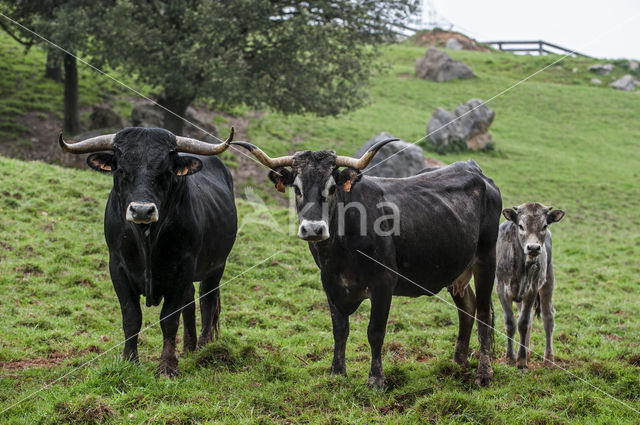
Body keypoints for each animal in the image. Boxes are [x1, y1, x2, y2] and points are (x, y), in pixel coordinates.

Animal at [60, 126, 238, 374]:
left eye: (165, 172)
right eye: (122, 170)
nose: (142, 210)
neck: (147, 237)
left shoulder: (183, 268)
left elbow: (169, 319)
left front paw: (167, 366)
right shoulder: (117, 267)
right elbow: (131, 317)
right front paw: (129, 360)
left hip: (216, 266)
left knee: (207, 301)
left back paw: (203, 347)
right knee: (190, 300)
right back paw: (189, 348)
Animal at [232, 141, 502, 386]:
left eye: (332, 188)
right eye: (297, 188)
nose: (313, 229)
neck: (340, 250)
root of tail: (474, 169)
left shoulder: (383, 283)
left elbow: (375, 331)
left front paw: (376, 379)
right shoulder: (329, 282)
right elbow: (340, 329)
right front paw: (337, 372)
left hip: (487, 259)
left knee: (483, 313)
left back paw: (484, 374)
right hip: (456, 268)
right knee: (466, 307)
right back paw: (458, 362)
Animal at [496, 202, 564, 368]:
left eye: (544, 225)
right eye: (521, 226)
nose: (533, 247)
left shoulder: (532, 290)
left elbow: (523, 323)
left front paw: (521, 361)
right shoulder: (501, 289)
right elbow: (511, 323)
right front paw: (511, 357)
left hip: (548, 280)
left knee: (548, 317)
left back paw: (548, 358)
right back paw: (527, 352)